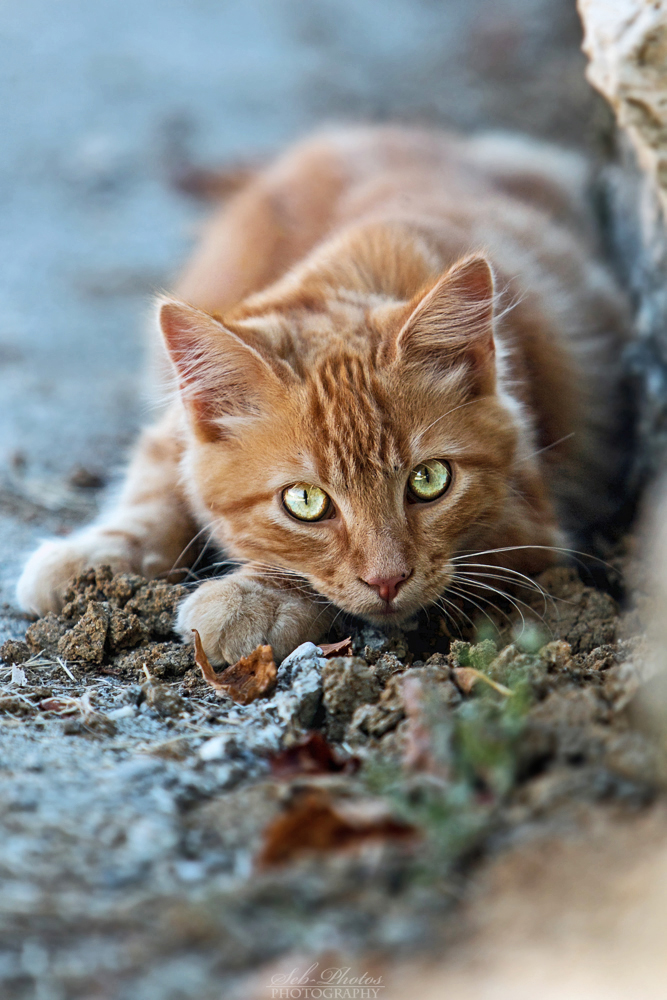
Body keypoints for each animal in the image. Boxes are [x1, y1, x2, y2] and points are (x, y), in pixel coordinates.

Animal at [17, 127, 632, 664]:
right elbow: (154, 495)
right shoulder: (173, 431)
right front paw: (90, 559)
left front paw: (250, 597)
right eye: (305, 501)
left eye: (429, 480)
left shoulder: (529, 530)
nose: (388, 579)